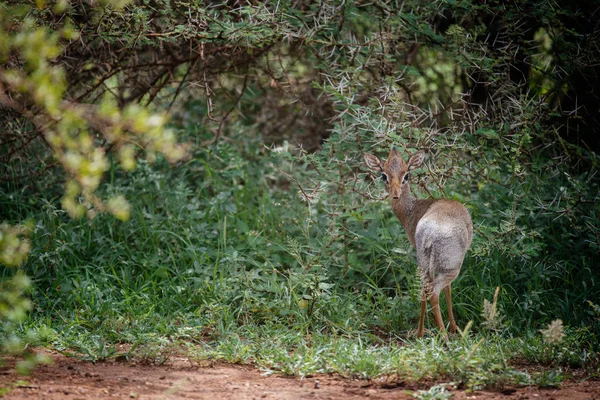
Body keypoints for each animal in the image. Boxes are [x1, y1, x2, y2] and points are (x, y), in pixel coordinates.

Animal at [364, 147, 472, 338]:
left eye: (406, 174)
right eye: (384, 175)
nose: (395, 195)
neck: (412, 211)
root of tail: (430, 232)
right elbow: (448, 290)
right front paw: (454, 328)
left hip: (423, 261)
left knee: (424, 288)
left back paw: (420, 333)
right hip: (451, 267)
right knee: (435, 291)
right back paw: (444, 336)